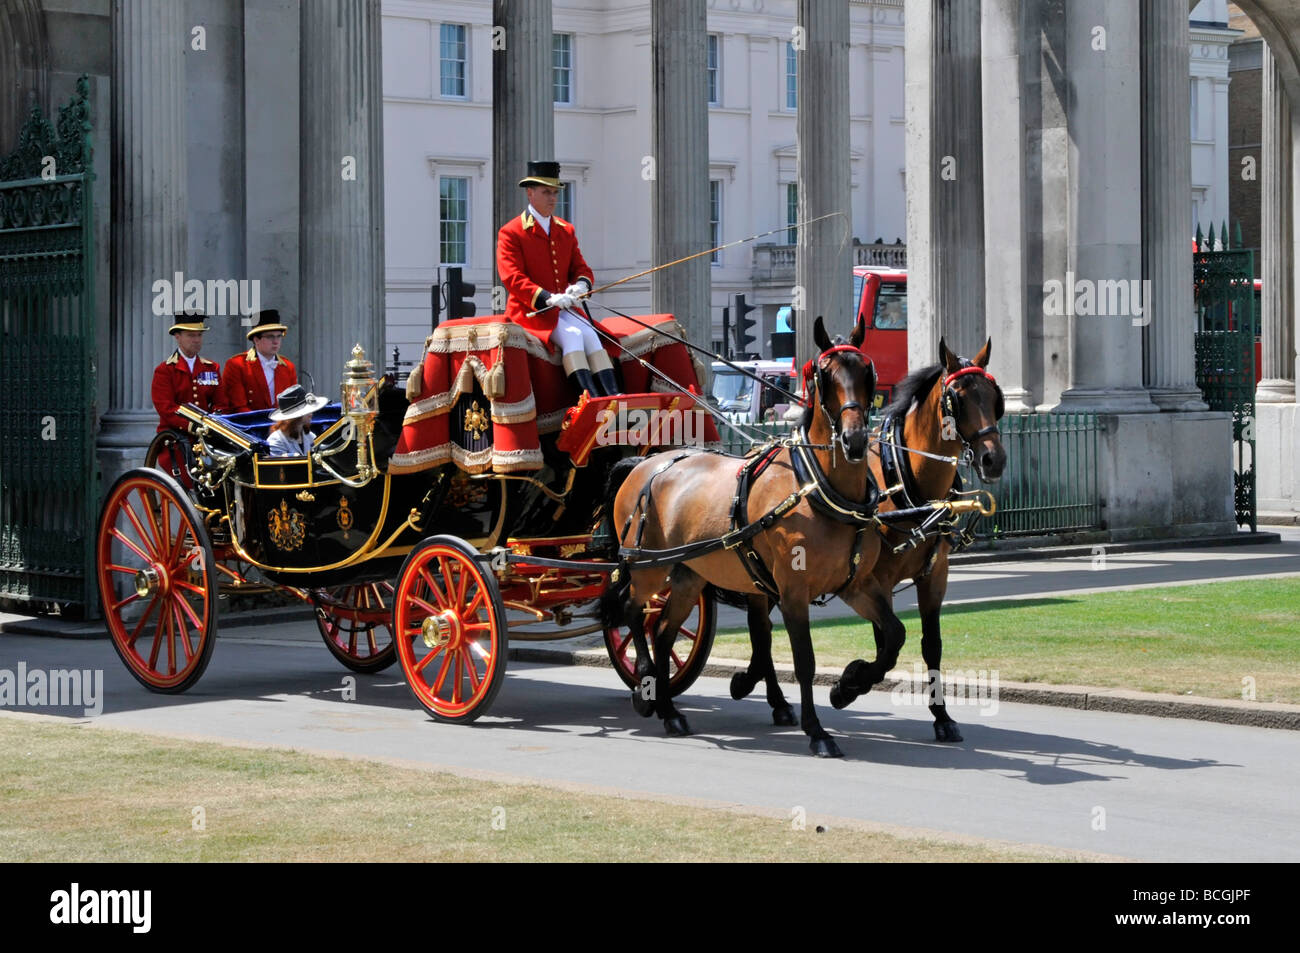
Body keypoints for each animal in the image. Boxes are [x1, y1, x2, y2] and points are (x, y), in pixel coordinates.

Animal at [600, 315, 899, 754]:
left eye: (866, 371)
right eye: (825, 376)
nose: (856, 438)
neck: (817, 485)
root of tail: (644, 464)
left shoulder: (856, 585)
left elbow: (893, 636)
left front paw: (849, 683)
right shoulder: (792, 591)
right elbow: (803, 659)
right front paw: (816, 730)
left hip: (689, 576)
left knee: (664, 631)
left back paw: (670, 710)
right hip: (648, 568)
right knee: (634, 613)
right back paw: (646, 683)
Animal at [733, 338, 1003, 738]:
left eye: (993, 397)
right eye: (957, 398)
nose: (993, 459)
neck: (906, 478)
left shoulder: (934, 576)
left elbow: (931, 645)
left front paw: (941, 717)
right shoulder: (878, 577)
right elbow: (886, 643)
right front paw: (849, 684)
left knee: (762, 627)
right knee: (761, 629)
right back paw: (765, 691)